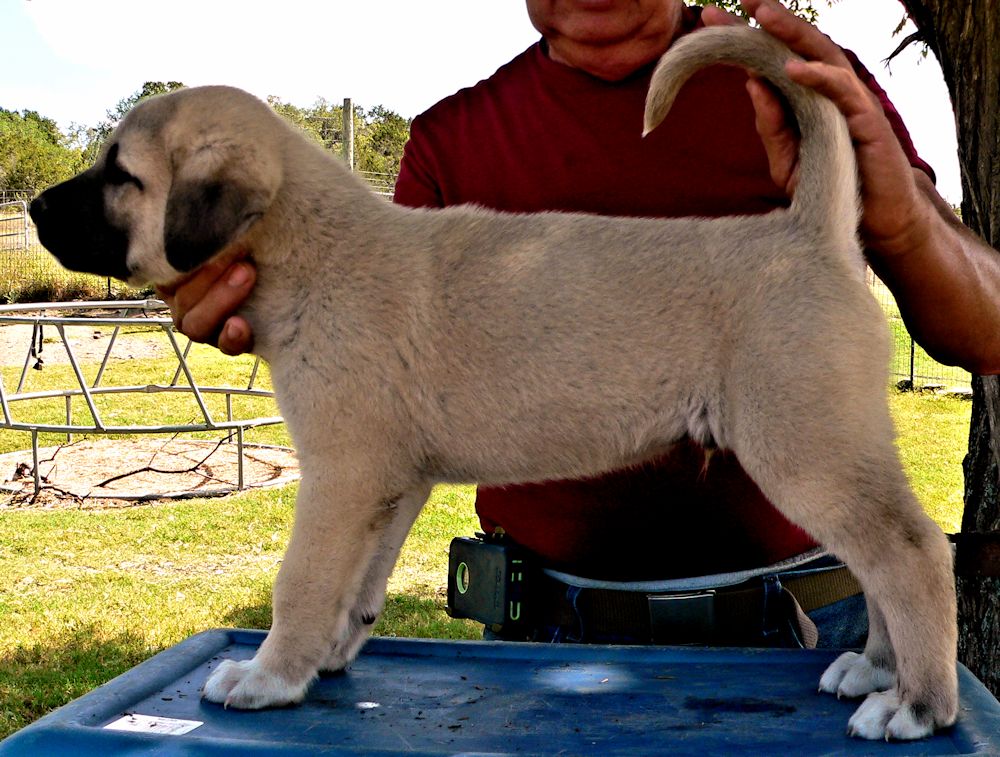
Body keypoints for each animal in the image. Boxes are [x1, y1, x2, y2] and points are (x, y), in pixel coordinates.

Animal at [29, 26, 952, 740]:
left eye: (120, 175)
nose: (33, 209)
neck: (315, 248)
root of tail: (810, 231)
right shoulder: (388, 484)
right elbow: (357, 586)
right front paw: (329, 655)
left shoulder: (340, 474)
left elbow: (303, 582)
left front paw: (268, 677)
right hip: (831, 447)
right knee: (879, 555)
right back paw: (874, 670)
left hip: (804, 446)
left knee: (910, 550)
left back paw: (915, 703)